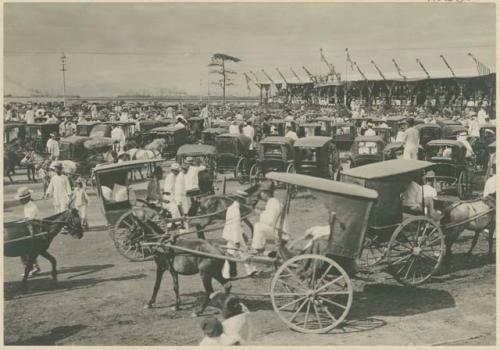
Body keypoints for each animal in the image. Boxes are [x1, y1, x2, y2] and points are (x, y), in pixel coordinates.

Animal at [145, 185, 262, 314]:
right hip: (214, 271)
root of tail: (220, 251)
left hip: (205, 273)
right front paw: (153, 303)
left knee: (210, 291)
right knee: (226, 285)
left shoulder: (167, 268)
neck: (162, 242)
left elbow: (171, 286)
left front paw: (174, 305)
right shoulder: (164, 268)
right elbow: (159, 285)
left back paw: (199, 311)